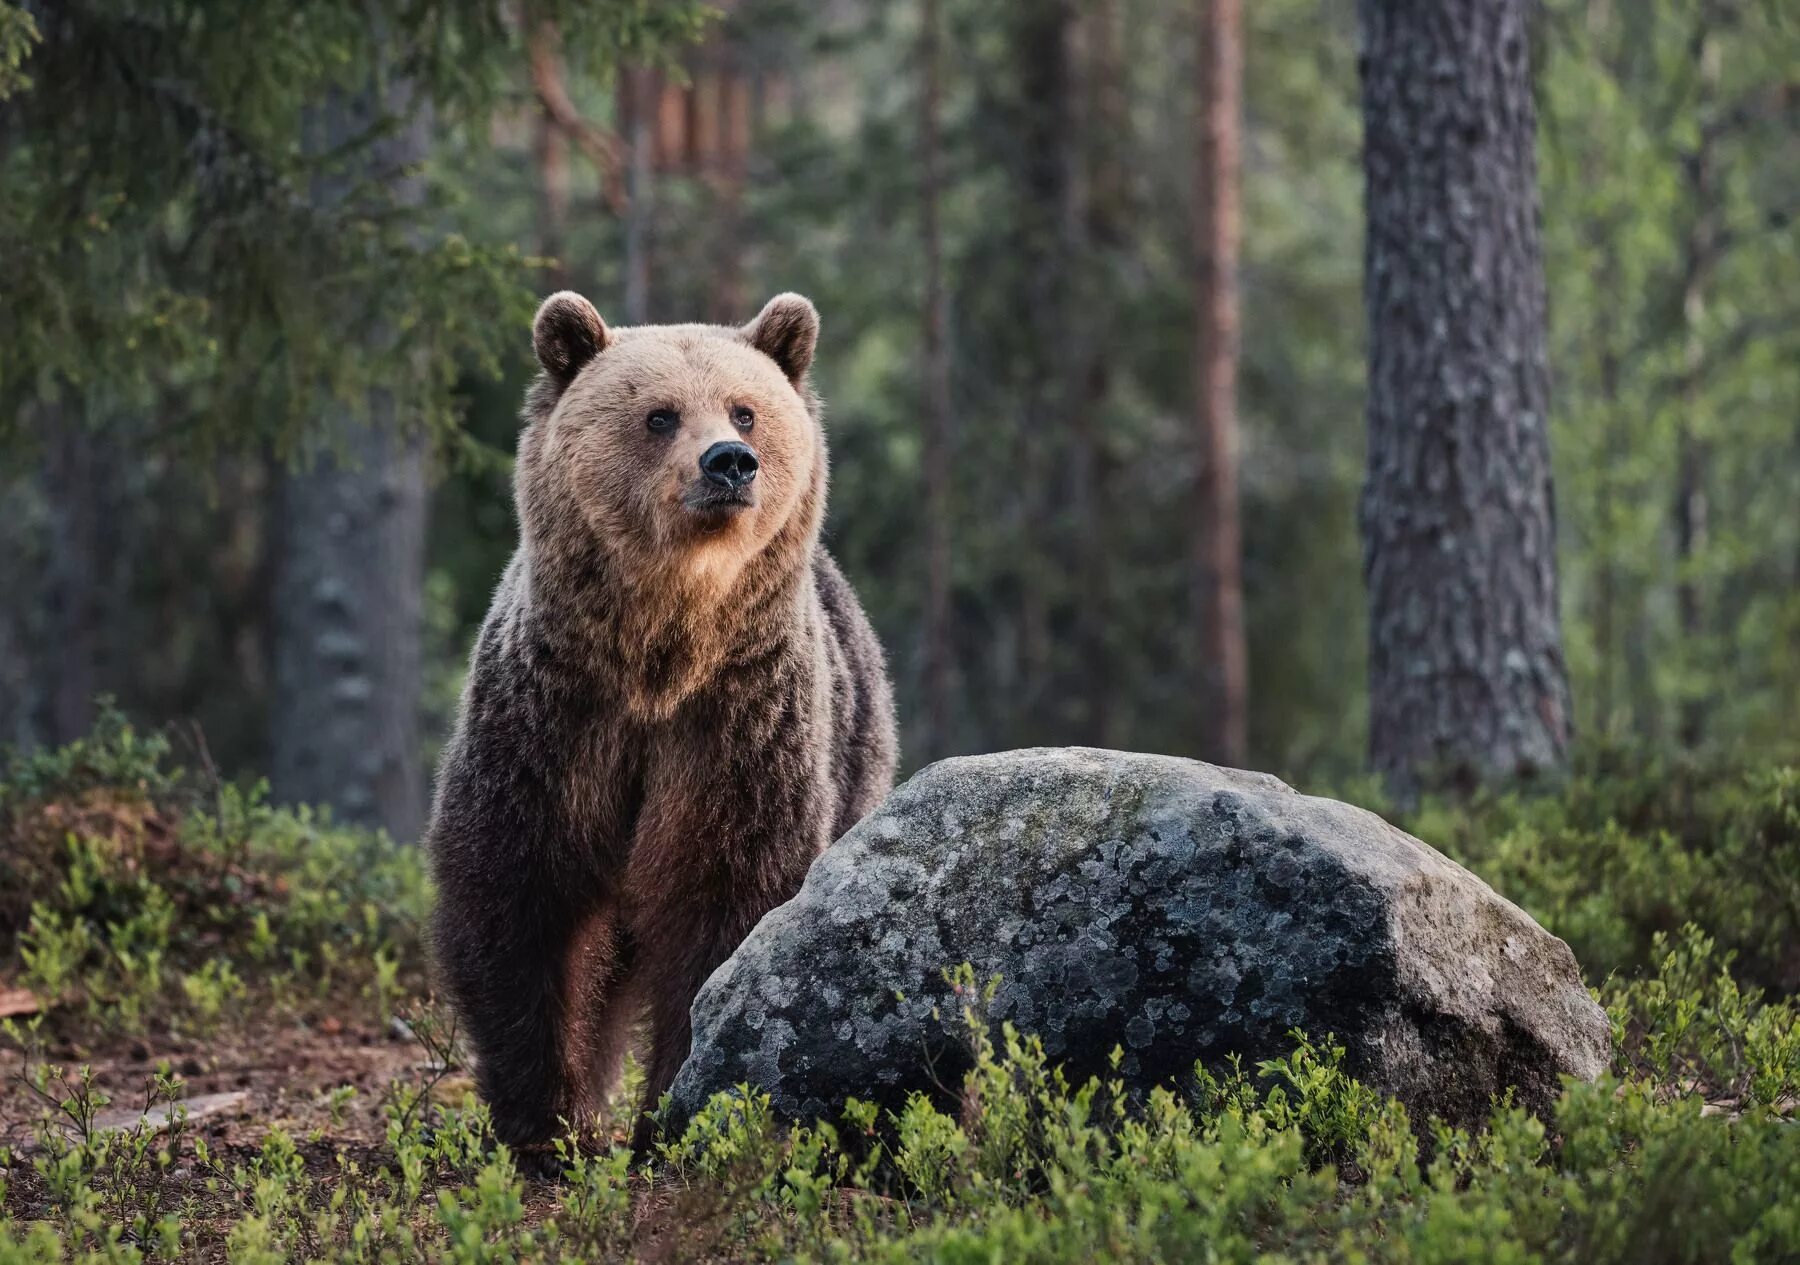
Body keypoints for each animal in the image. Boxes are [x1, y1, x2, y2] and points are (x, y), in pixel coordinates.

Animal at [423, 289, 900, 1158]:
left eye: (745, 411)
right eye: (659, 415)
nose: (729, 463)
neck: (659, 656)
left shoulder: (738, 729)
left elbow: (726, 901)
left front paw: (674, 1115)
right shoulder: (553, 722)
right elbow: (515, 896)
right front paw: (546, 1119)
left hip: (855, 755)